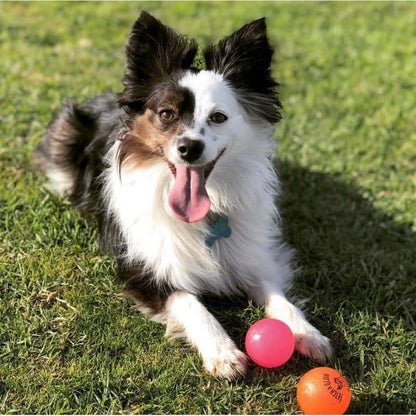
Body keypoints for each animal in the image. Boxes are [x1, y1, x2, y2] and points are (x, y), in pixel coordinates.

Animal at [35, 10, 334, 380]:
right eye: (166, 114)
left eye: (218, 117)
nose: (190, 148)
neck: (209, 208)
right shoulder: (145, 267)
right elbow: (192, 304)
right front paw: (222, 351)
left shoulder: (252, 255)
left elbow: (278, 296)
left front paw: (307, 332)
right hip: (67, 130)